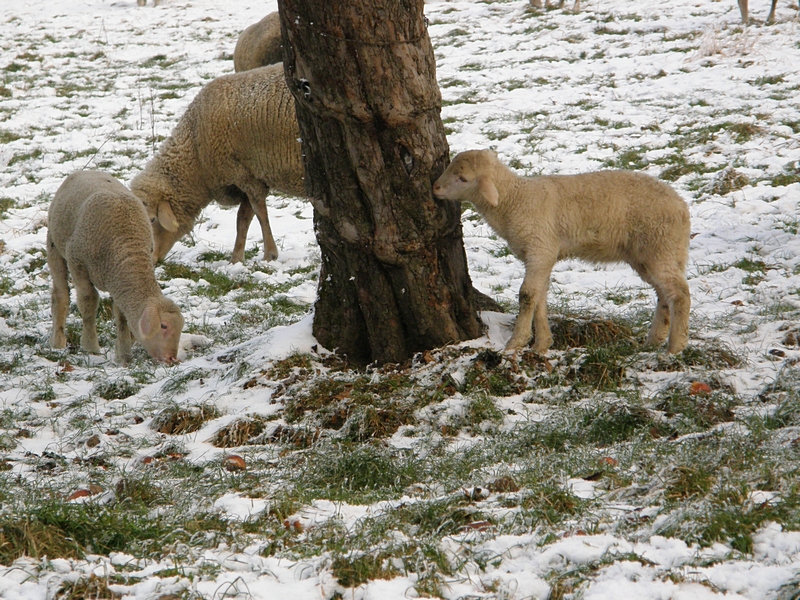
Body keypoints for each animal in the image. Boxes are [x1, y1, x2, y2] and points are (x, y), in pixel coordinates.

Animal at [48, 170, 184, 366]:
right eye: (163, 326)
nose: (172, 359)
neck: (127, 244)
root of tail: (85, 171)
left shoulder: (119, 278)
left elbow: (121, 316)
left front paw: (124, 354)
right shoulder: (78, 262)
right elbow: (89, 302)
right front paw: (90, 346)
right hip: (54, 242)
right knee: (60, 295)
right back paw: (58, 341)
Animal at [130, 62, 304, 264]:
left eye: (152, 220)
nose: (151, 259)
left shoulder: (243, 174)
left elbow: (260, 213)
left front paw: (270, 254)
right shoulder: (247, 177)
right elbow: (243, 219)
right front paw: (236, 259)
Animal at [434, 150, 692, 354]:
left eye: (463, 178)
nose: (435, 188)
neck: (515, 201)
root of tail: (682, 207)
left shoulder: (539, 249)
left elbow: (527, 295)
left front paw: (516, 342)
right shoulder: (543, 255)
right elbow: (539, 296)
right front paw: (542, 345)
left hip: (660, 246)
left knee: (679, 293)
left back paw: (675, 347)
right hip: (650, 254)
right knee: (663, 294)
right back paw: (654, 340)